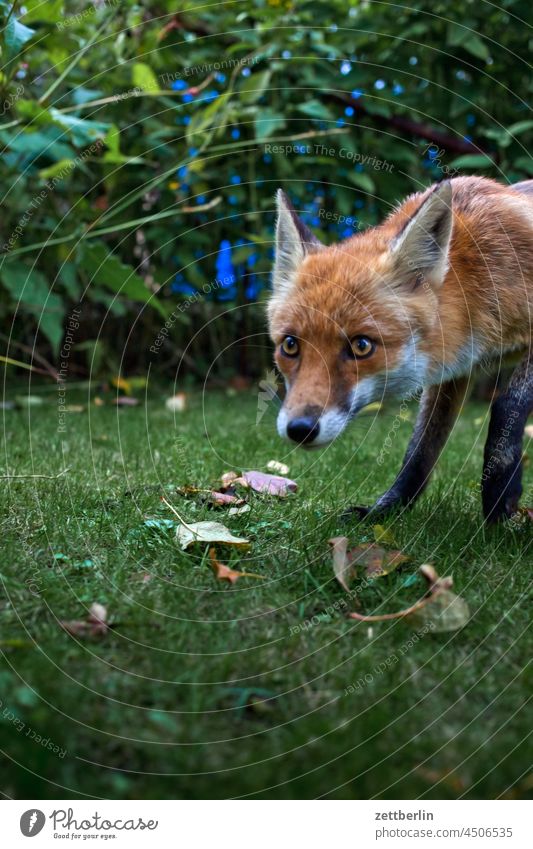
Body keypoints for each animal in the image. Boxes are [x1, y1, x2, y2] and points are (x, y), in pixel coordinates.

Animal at [268, 176, 532, 520]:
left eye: (362, 346)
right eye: (289, 345)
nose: (299, 429)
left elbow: (507, 404)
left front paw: (501, 501)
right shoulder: (454, 367)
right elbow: (420, 448)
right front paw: (385, 510)